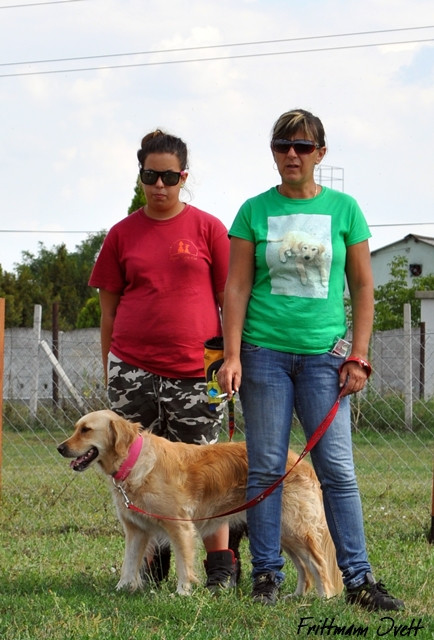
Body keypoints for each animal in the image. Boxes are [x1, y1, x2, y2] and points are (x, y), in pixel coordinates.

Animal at [56, 412, 342, 596]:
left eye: (86, 430)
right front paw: (121, 589)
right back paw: (298, 596)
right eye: (76, 428)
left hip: (293, 528)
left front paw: (183, 592)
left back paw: (324, 597)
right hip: (282, 532)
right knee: (304, 566)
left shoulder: (180, 527)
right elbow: (128, 564)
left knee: (317, 563)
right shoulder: (137, 531)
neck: (134, 461)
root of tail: (301, 462)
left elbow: (184, 563)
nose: (60, 448)